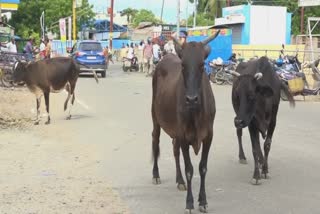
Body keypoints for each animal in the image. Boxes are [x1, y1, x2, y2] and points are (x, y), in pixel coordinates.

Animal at [151, 30, 219, 213]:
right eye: (183, 66)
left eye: (202, 65)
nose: (191, 99)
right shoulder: (183, 135)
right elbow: (190, 169)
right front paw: (189, 203)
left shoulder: (208, 136)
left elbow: (202, 168)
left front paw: (203, 201)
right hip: (155, 118)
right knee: (155, 141)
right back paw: (156, 175)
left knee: (175, 151)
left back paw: (179, 181)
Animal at [230, 56, 296, 184]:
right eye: (238, 95)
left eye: (251, 95)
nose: (238, 121)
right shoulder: (251, 123)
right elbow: (254, 148)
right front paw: (256, 176)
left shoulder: (273, 122)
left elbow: (266, 145)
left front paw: (265, 170)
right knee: (239, 133)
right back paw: (242, 157)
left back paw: (261, 162)